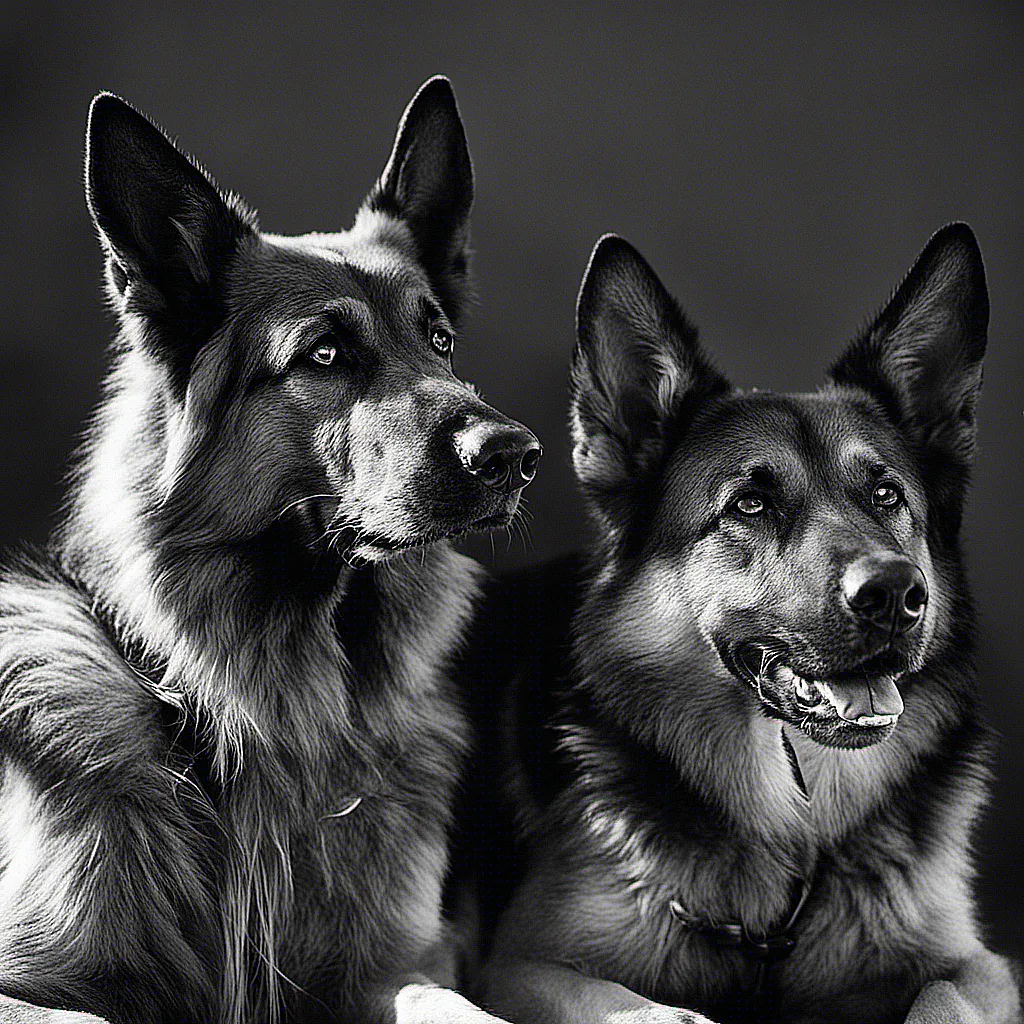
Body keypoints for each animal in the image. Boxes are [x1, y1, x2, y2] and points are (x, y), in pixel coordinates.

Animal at [460, 226, 1019, 1024]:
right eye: (749, 506)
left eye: (887, 496)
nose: (894, 594)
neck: (792, 829)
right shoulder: (523, 968)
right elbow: (659, 1012)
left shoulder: (978, 967)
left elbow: (940, 1001)